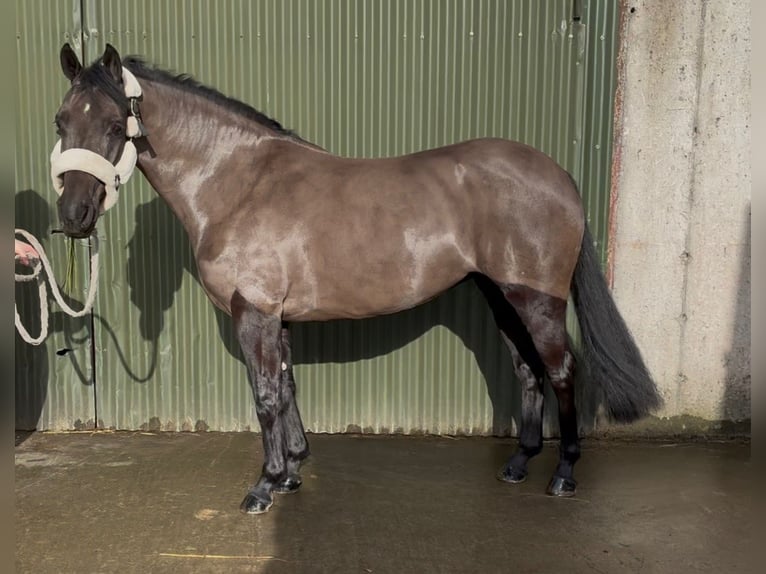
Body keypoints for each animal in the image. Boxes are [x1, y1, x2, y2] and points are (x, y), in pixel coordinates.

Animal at [52, 43, 661, 514]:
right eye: (61, 120)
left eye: (114, 125)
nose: (74, 215)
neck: (239, 182)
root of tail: (559, 176)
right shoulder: (279, 317)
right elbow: (288, 388)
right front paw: (293, 471)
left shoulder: (255, 313)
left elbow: (265, 396)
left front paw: (264, 486)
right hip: (500, 297)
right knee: (527, 369)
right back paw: (518, 463)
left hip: (535, 300)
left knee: (561, 370)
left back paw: (563, 475)